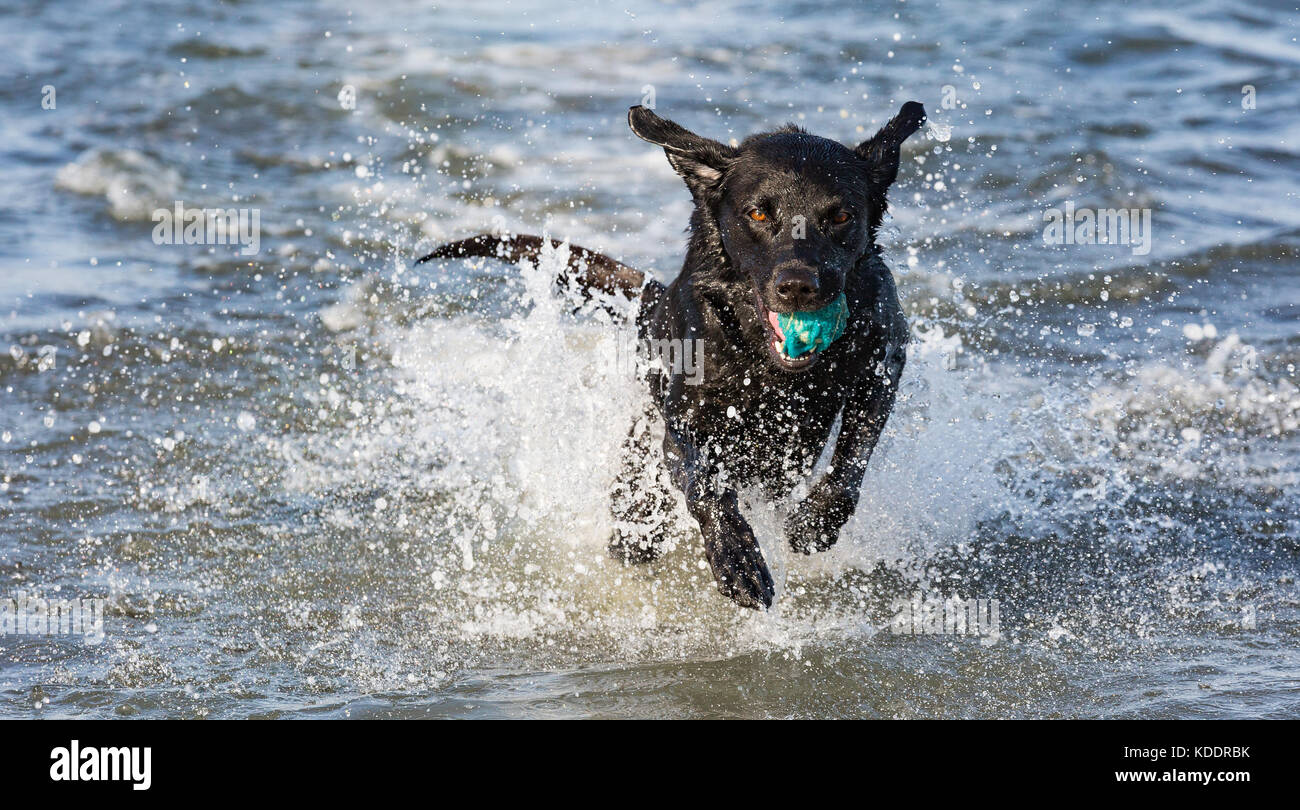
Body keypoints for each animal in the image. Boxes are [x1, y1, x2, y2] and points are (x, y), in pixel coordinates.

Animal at [418, 100, 925, 608]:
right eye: (759, 214)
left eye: (841, 217)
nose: (799, 285)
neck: (769, 365)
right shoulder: (683, 421)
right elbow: (704, 484)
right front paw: (737, 558)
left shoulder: (883, 365)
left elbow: (852, 460)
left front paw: (815, 524)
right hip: (639, 493)